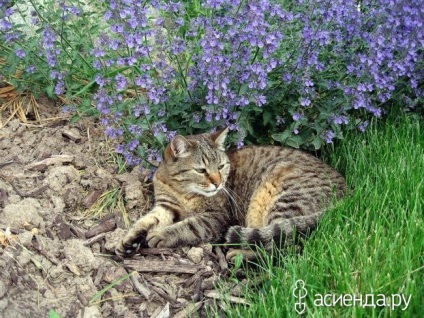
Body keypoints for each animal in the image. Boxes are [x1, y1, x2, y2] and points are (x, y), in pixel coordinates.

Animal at [114, 128, 346, 260]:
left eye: (221, 166)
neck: (181, 189)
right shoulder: (165, 206)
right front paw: (128, 241)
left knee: (284, 246)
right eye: (201, 170)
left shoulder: (216, 217)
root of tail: (348, 194)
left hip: (283, 199)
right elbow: (145, 220)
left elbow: (188, 226)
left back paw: (239, 255)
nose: (218, 183)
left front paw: (162, 235)